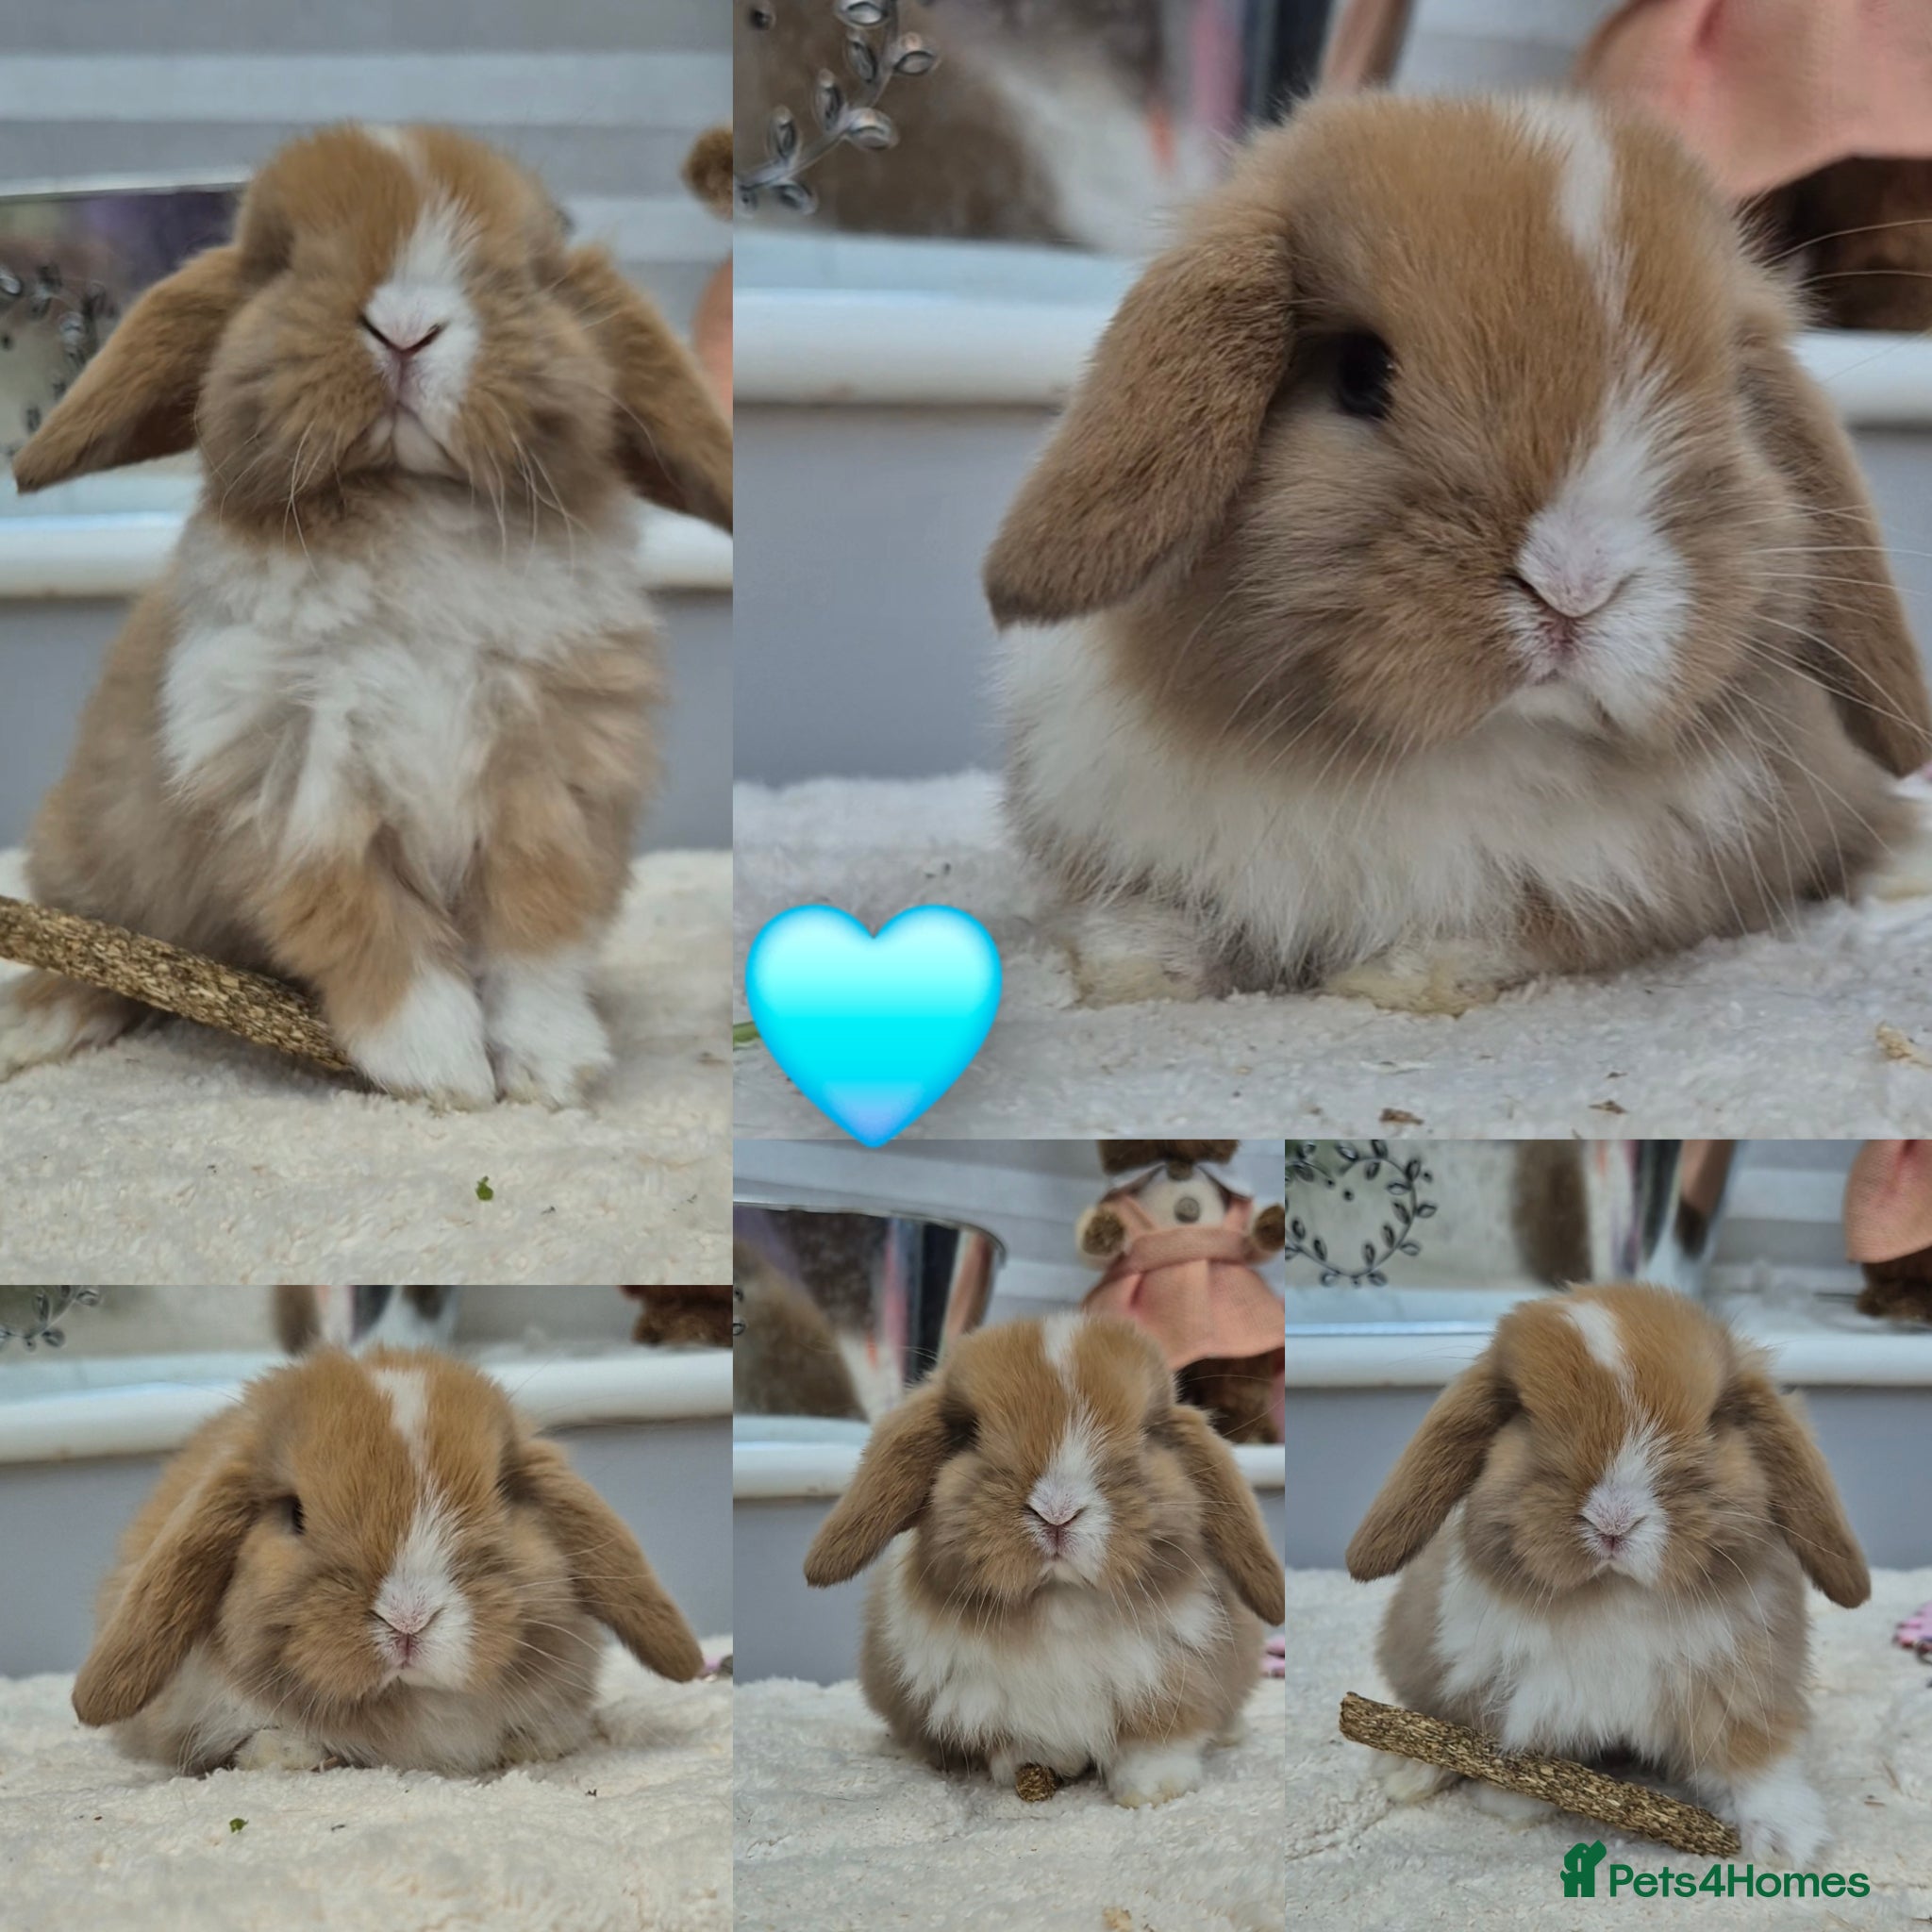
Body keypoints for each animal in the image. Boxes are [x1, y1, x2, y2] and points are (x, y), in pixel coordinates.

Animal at [0, 123, 732, 1106]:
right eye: (279, 262)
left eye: (529, 270)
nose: (406, 328)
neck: (412, 505)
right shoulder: (294, 784)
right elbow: (375, 932)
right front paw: (444, 1071)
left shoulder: (549, 786)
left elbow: (534, 936)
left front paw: (550, 1070)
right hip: (92, 866)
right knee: (96, 955)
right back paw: (36, 1022)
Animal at [802, 1313, 1285, 1807]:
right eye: (967, 1432)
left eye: (1150, 1432)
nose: (1056, 1511)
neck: (1061, 1603)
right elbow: (1016, 1745)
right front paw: (1047, 1764)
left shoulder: (1171, 1682)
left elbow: (1156, 1742)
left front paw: (1156, 1790)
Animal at [984, 91, 1932, 1013]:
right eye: (1361, 373)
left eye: (1732, 397)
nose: (1574, 585)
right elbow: (1153, 917)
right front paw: (1130, 974)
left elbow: (1504, 931)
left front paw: (1396, 983)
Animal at [1344, 1282, 1870, 1865]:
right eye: (1521, 1416)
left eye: (1715, 1419)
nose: (1613, 1521)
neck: (1616, 1596)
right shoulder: (1526, 1692)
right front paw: (1513, 1804)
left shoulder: (1740, 1689)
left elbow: (1755, 1760)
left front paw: (1785, 1844)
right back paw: (1406, 1771)